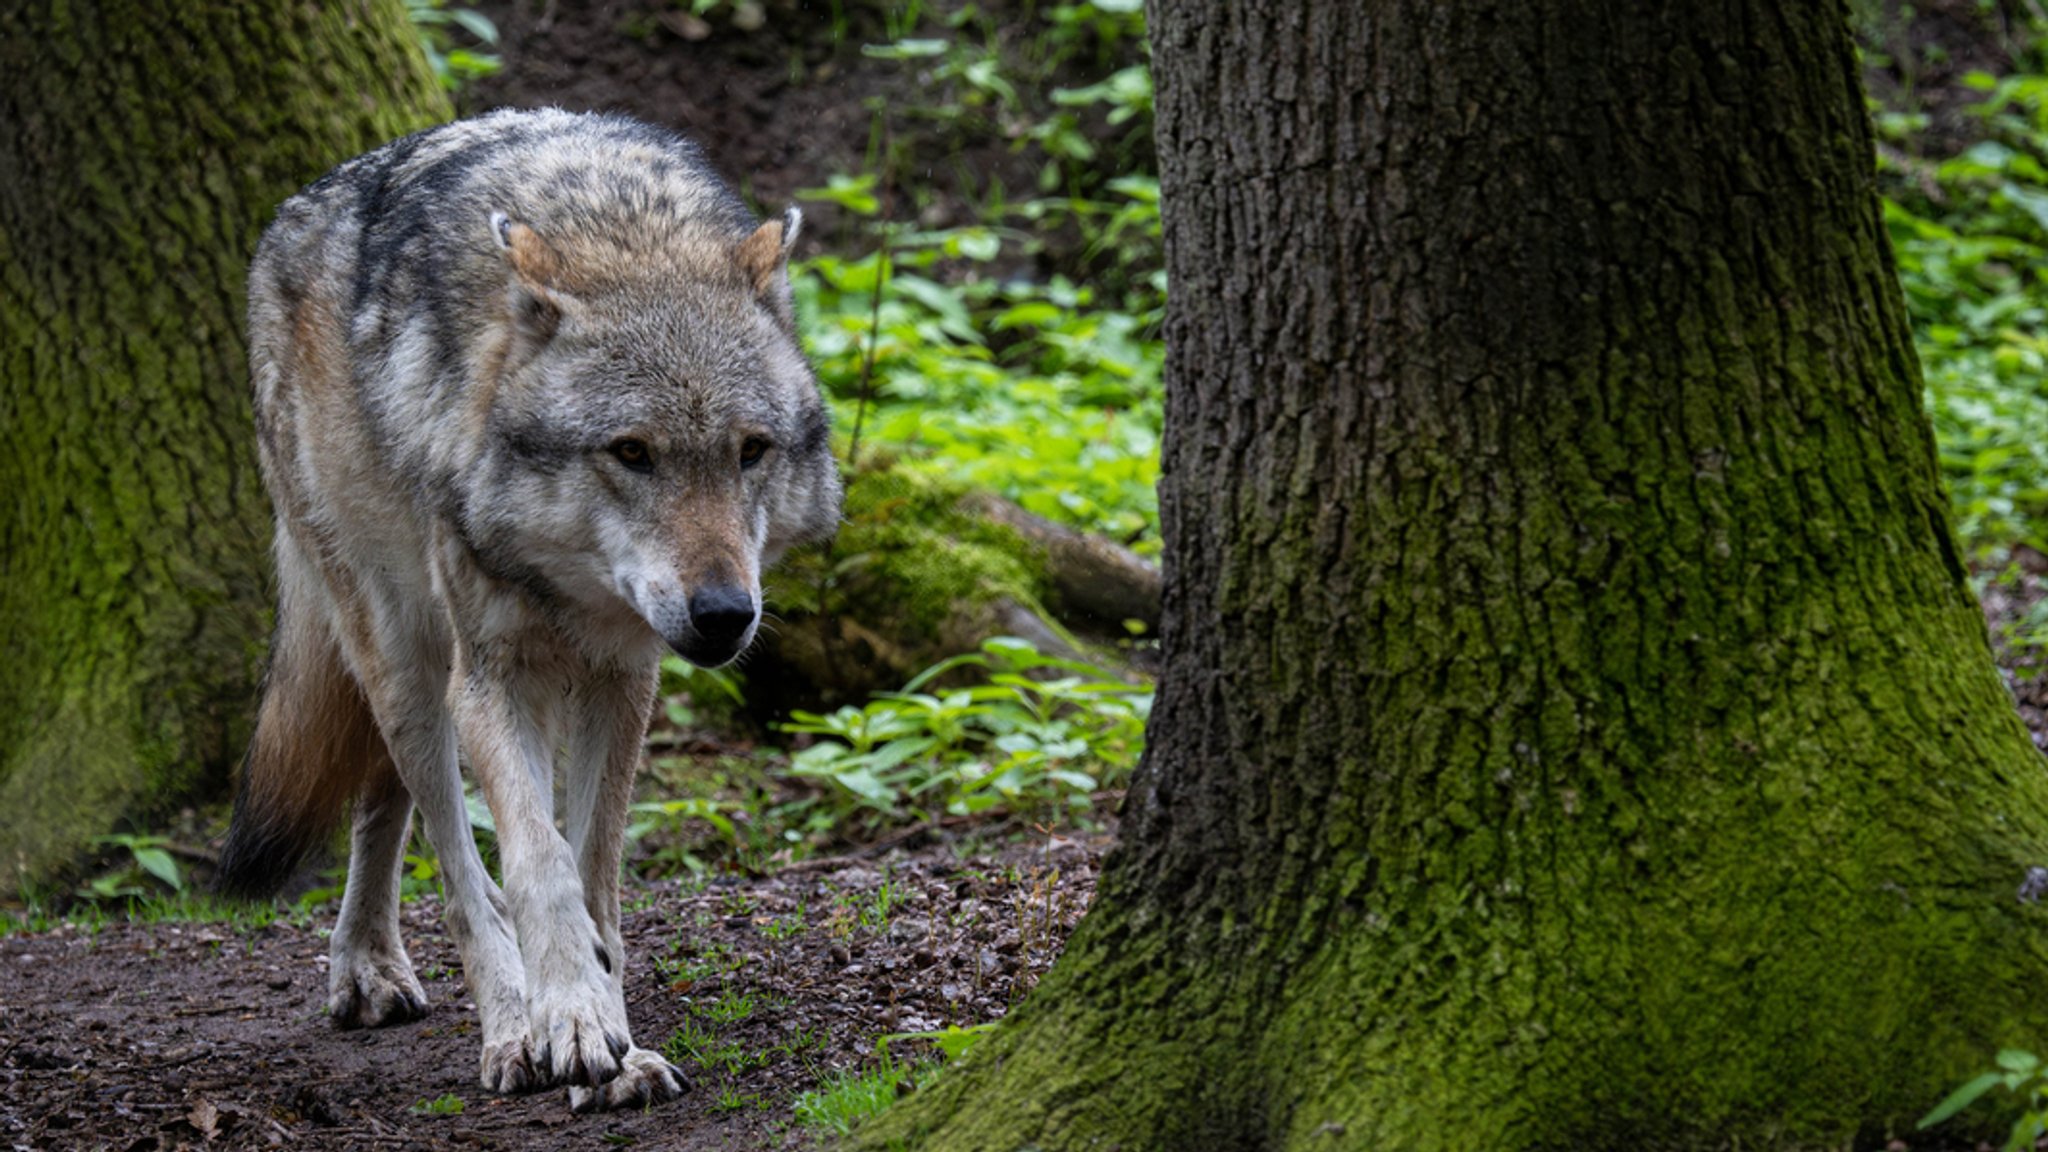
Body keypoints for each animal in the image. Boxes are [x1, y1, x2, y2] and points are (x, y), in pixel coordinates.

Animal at [216, 105, 839, 1106]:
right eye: (631, 452)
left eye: (751, 450)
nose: (722, 614)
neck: (619, 230)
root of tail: (292, 214)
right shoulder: (493, 679)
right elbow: (536, 866)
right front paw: (569, 1023)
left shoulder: (622, 681)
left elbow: (593, 876)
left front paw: (614, 1038)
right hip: (408, 660)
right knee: (455, 861)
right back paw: (504, 1027)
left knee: (383, 801)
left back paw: (374, 965)